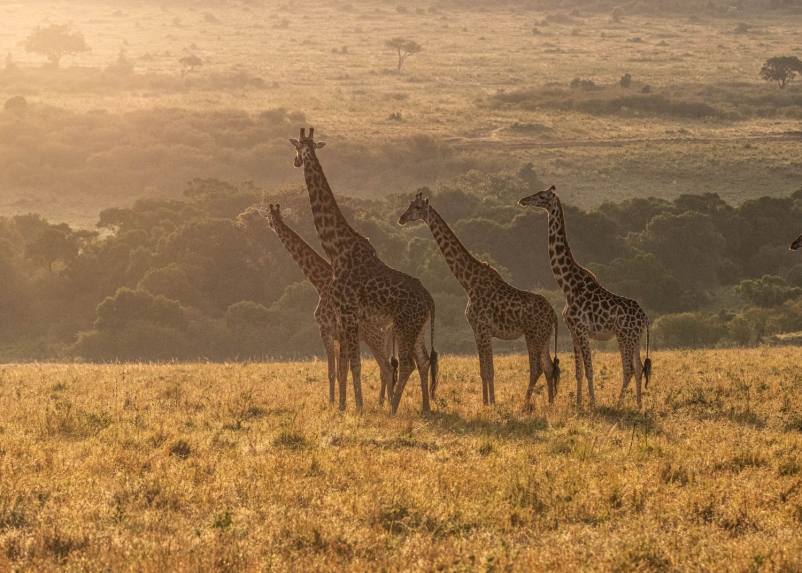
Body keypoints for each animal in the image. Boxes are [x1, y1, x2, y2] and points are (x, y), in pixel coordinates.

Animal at [236, 204, 396, 402]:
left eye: (271, 218)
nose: (273, 226)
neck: (320, 282)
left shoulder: (325, 330)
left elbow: (332, 372)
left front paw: (332, 402)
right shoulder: (338, 336)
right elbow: (340, 372)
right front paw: (341, 401)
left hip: (376, 336)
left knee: (387, 368)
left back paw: (388, 404)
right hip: (383, 338)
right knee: (387, 368)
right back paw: (385, 401)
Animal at [288, 127, 438, 414]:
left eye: (297, 148)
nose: (296, 162)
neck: (336, 249)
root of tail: (430, 301)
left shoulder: (347, 312)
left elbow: (354, 365)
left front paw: (356, 406)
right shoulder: (345, 317)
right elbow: (346, 367)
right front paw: (344, 405)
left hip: (404, 326)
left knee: (407, 364)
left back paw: (393, 409)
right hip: (418, 328)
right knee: (423, 362)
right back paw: (425, 407)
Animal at [396, 193, 560, 406]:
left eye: (417, 207)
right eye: (409, 205)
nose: (401, 218)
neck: (468, 282)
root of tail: (554, 315)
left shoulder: (482, 328)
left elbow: (489, 371)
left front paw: (491, 404)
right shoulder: (478, 330)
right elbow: (484, 370)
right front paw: (487, 402)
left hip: (533, 334)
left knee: (537, 368)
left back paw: (526, 404)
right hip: (544, 336)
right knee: (548, 367)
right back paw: (550, 403)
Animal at [516, 187, 648, 406]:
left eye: (542, 196)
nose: (523, 200)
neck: (567, 285)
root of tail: (645, 318)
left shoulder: (583, 330)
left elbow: (589, 370)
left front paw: (592, 403)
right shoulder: (573, 332)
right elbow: (578, 371)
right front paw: (578, 403)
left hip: (624, 336)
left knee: (629, 369)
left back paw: (618, 403)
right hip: (635, 338)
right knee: (638, 369)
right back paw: (638, 404)